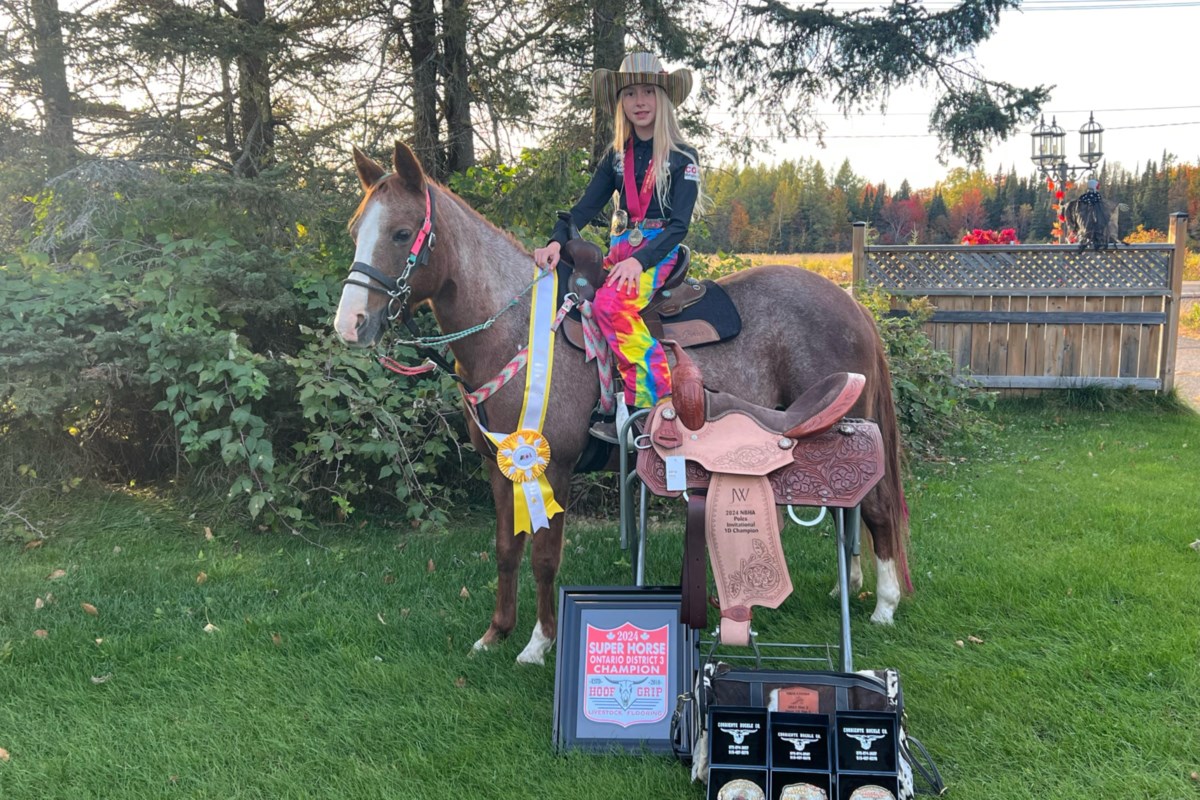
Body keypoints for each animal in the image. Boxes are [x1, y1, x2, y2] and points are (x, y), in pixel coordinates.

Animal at [331, 142, 907, 662]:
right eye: (356, 231)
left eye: (401, 232)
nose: (350, 324)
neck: (517, 330)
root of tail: (851, 303)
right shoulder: (501, 466)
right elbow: (506, 549)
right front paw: (495, 634)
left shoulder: (552, 466)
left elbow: (544, 556)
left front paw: (539, 644)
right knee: (848, 510)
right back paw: (847, 586)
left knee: (875, 507)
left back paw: (884, 604)